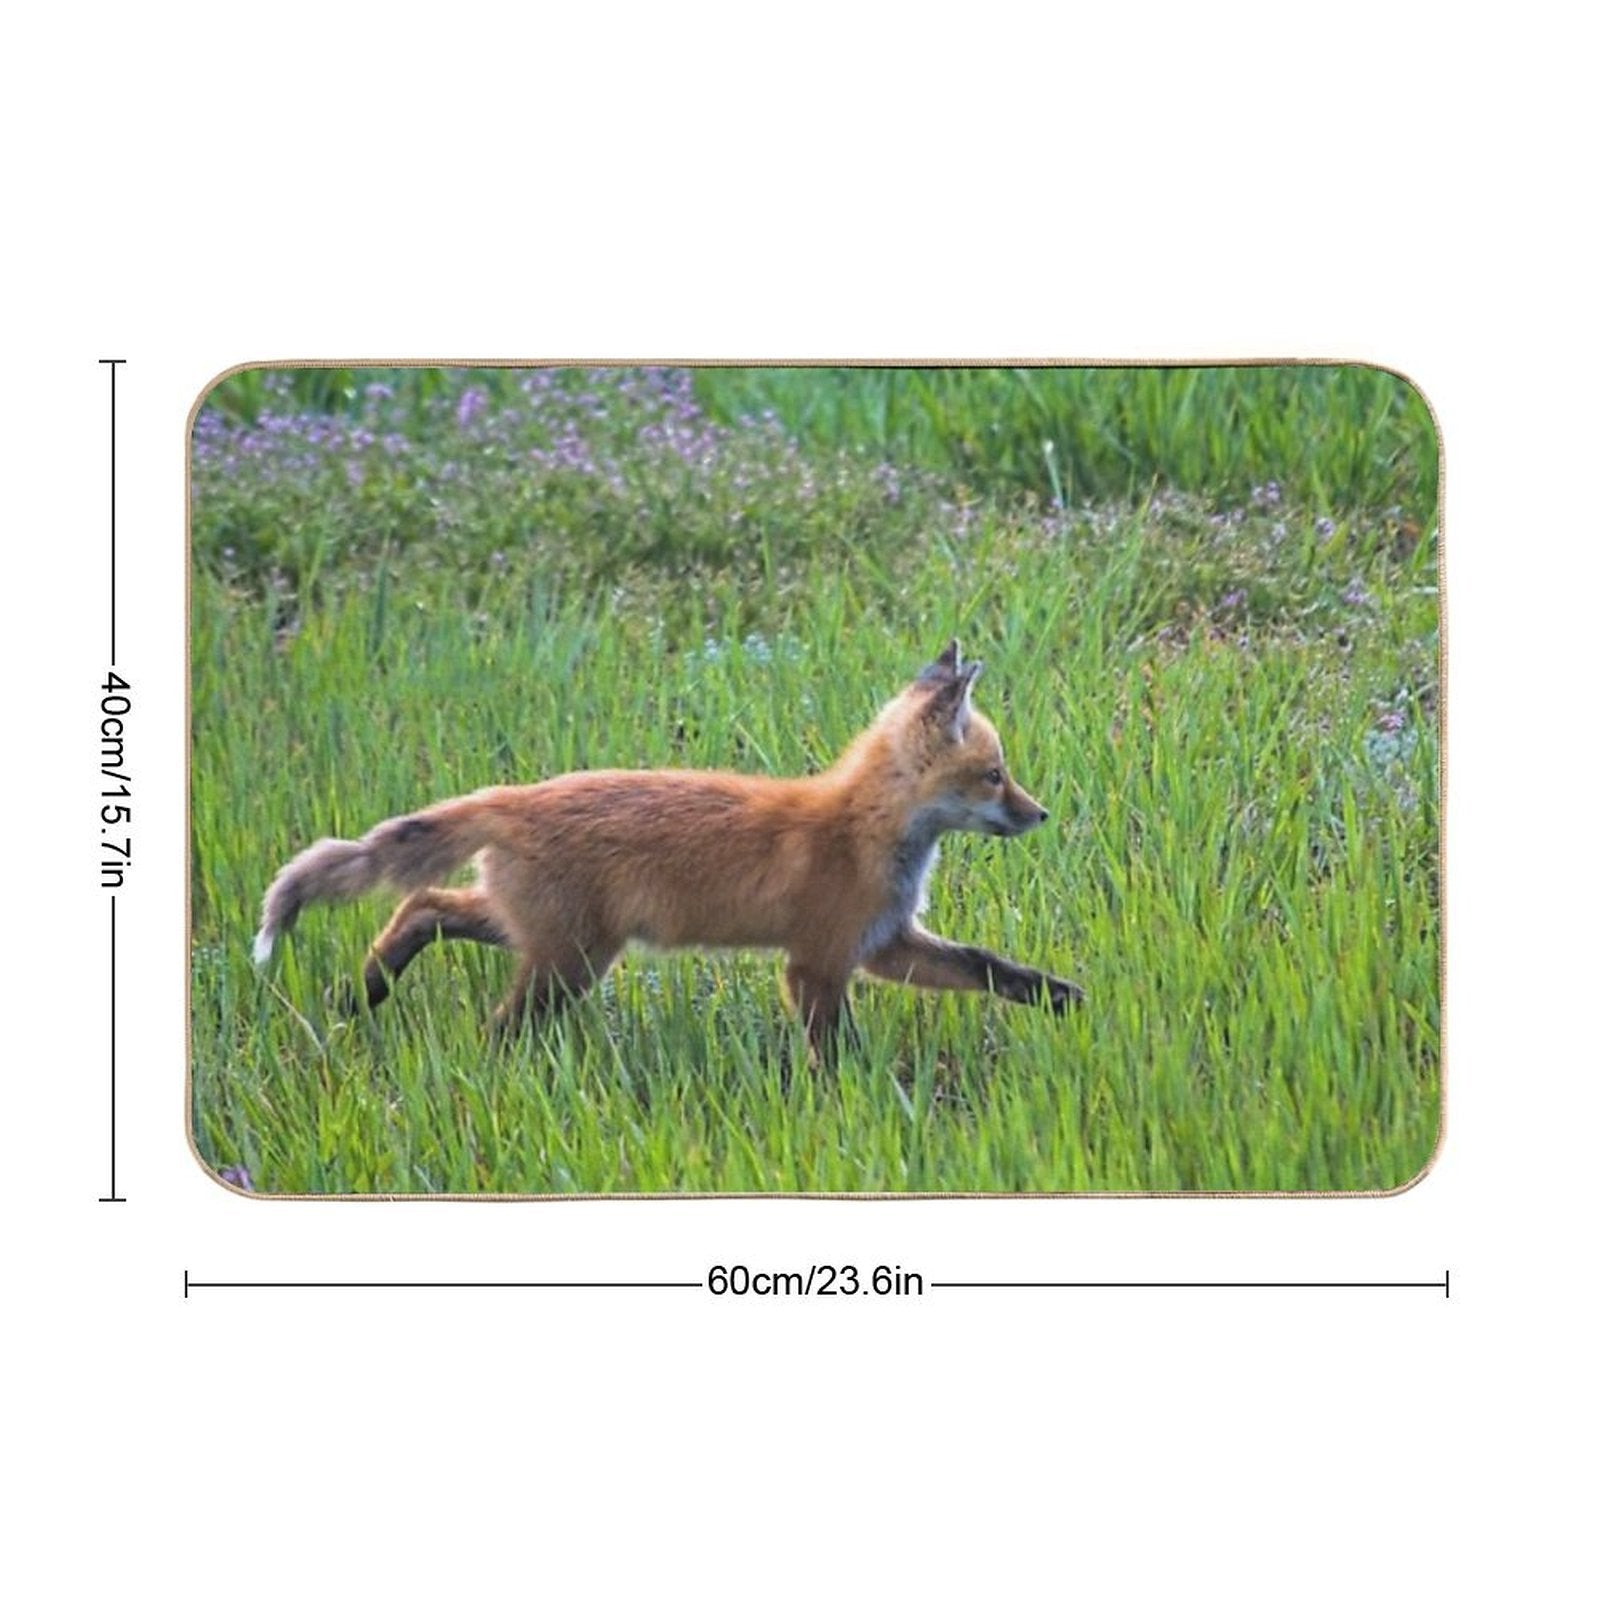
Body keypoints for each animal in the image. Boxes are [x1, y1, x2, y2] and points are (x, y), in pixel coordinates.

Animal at [253, 640, 1083, 1055]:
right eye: (996, 775)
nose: (1042, 813)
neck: (864, 832)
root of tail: (514, 795)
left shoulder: (882, 945)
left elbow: (984, 966)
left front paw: (1054, 995)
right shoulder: (817, 962)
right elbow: (835, 1051)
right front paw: (857, 1100)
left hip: (541, 935)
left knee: (423, 905)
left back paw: (364, 992)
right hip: (570, 963)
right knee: (494, 1016)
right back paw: (484, 1066)